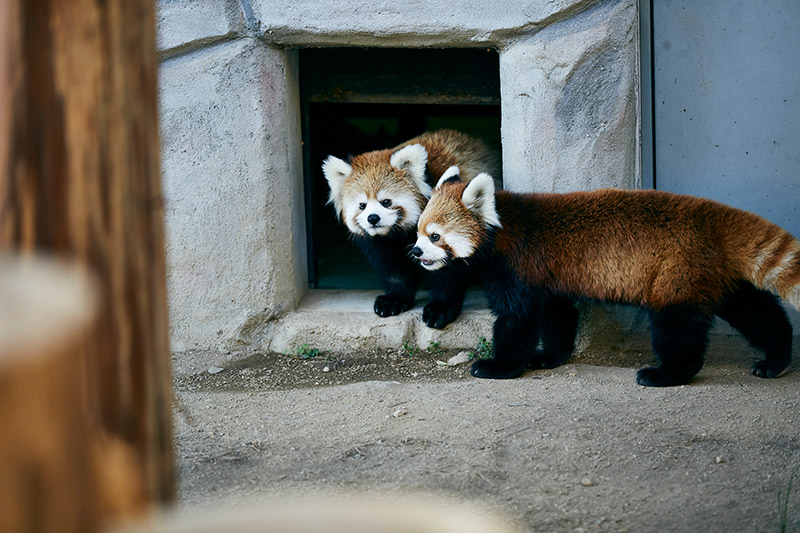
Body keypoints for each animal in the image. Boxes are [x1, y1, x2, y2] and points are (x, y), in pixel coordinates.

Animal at [322, 130, 496, 328]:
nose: (372, 218)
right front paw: (394, 300)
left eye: (386, 202)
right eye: (362, 205)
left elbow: (447, 274)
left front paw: (440, 309)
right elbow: (393, 269)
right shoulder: (379, 244)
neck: (394, 234)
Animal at [416, 167, 796, 386]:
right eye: (418, 232)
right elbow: (557, 315)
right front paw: (548, 357)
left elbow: (517, 319)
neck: (502, 231)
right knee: (754, 311)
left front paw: (500, 365)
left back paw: (668, 373)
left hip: (677, 270)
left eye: (435, 236)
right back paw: (777, 359)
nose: (416, 253)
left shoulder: (518, 267)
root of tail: (714, 217)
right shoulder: (549, 277)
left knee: (676, 324)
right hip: (714, 272)